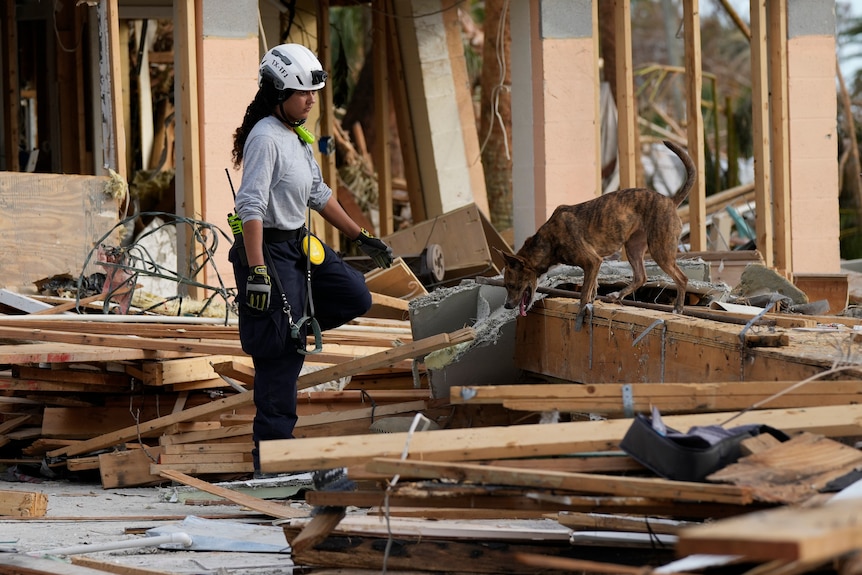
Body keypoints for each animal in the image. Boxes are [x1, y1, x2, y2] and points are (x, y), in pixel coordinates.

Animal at [500, 140, 696, 320]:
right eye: (506, 286)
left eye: (513, 285)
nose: (507, 305)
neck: (548, 240)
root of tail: (670, 201)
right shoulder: (595, 264)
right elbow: (592, 287)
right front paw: (591, 302)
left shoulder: (592, 261)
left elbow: (584, 293)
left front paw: (581, 314)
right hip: (633, 248)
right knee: (641, 277)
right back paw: (617, 295)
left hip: (660, 250)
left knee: (682, 278)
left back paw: (678, 309)